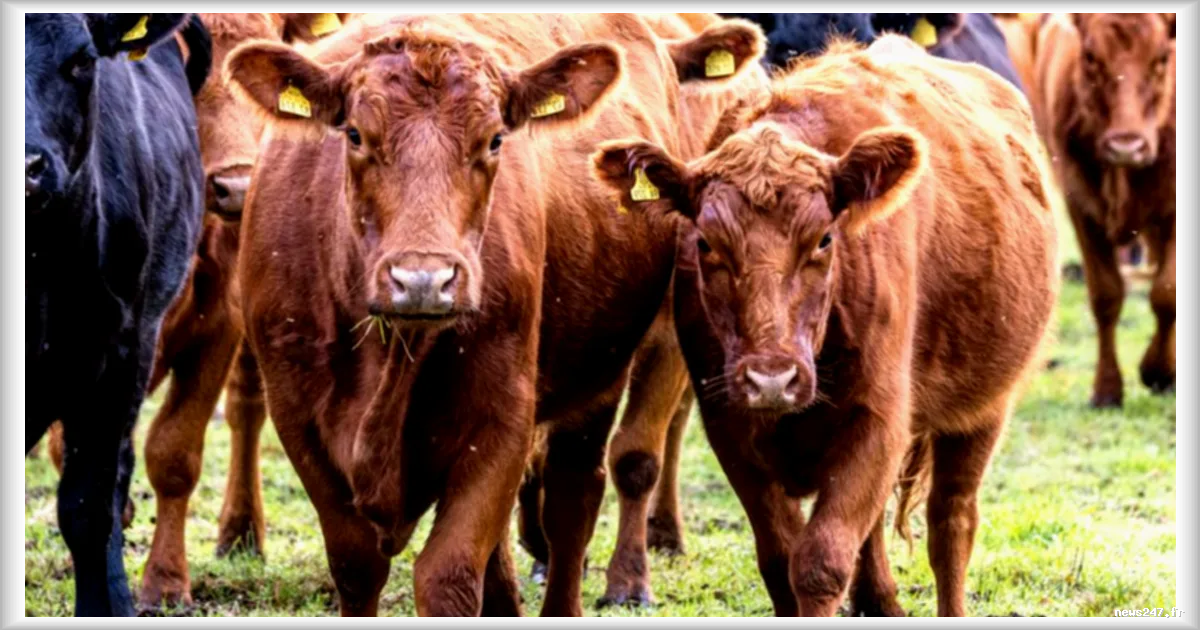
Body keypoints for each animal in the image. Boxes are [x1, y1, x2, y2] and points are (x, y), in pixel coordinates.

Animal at [223, 12, 764, 616]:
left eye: (495, 139)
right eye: (356, 135)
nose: (423, 280)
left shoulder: (502, 416)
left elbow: (450, 572)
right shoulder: (298, 417)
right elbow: (357, 565)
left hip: (598, 380)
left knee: (573, 500)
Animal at [591, 35, 1058, 616]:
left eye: (823, 239)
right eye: (706, 243)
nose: (771, 379)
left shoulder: (877, 418)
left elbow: (820, 564)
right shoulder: (730, 424)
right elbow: (780, 559)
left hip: (982, 410)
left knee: (951, 523)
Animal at [1032, 13, 1175, 407]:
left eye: (1162, 57)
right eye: (1091, 56)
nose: (1126, 145)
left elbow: (1166, 292)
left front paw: (1159, 371)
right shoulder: (1080, 203)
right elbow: (1105, 294)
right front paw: (1107, 389)